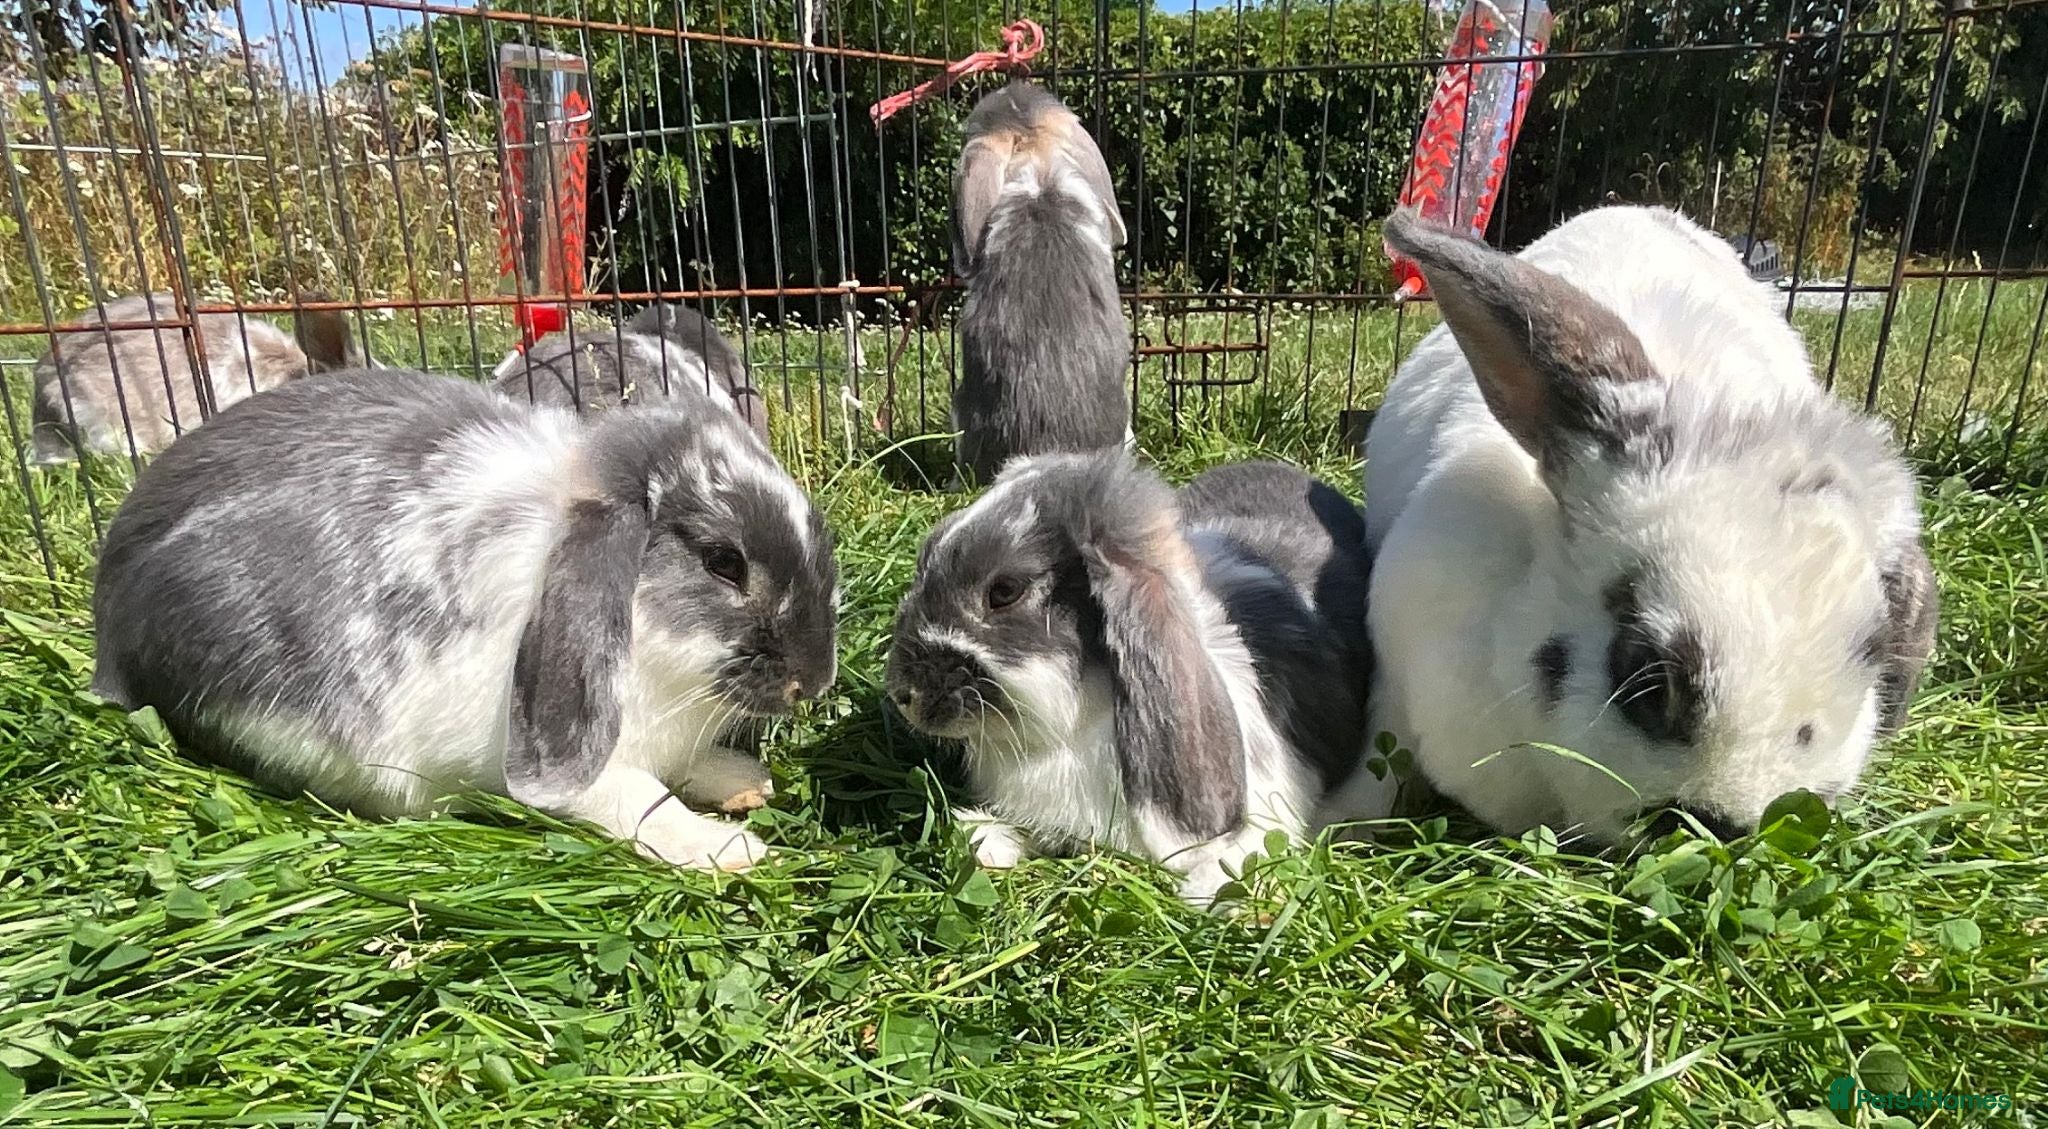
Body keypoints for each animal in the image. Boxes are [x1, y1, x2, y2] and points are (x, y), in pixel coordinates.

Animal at [91, 367, 839, 870]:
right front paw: (728, 847)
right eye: (723, 562)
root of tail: (111, 626)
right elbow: (636, 796)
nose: (816, 679)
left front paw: (743, 783)